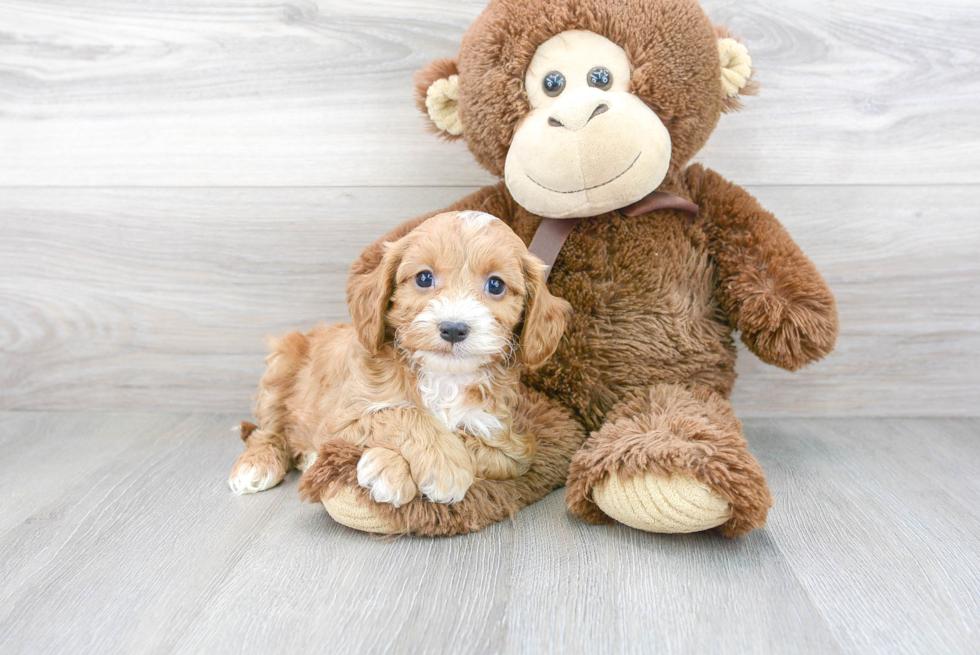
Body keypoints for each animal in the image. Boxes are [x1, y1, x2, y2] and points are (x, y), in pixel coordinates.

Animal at [227, 211, 572, 508]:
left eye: (496, 285)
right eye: (424, 278)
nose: (453, 328)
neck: (444, 377)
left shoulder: (513, 447)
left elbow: (468, 439)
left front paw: (389, 465)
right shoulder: (339, 418)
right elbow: (399, 413)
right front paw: (432, 465)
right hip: (282, 361)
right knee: (268, 430)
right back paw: (257, 464)